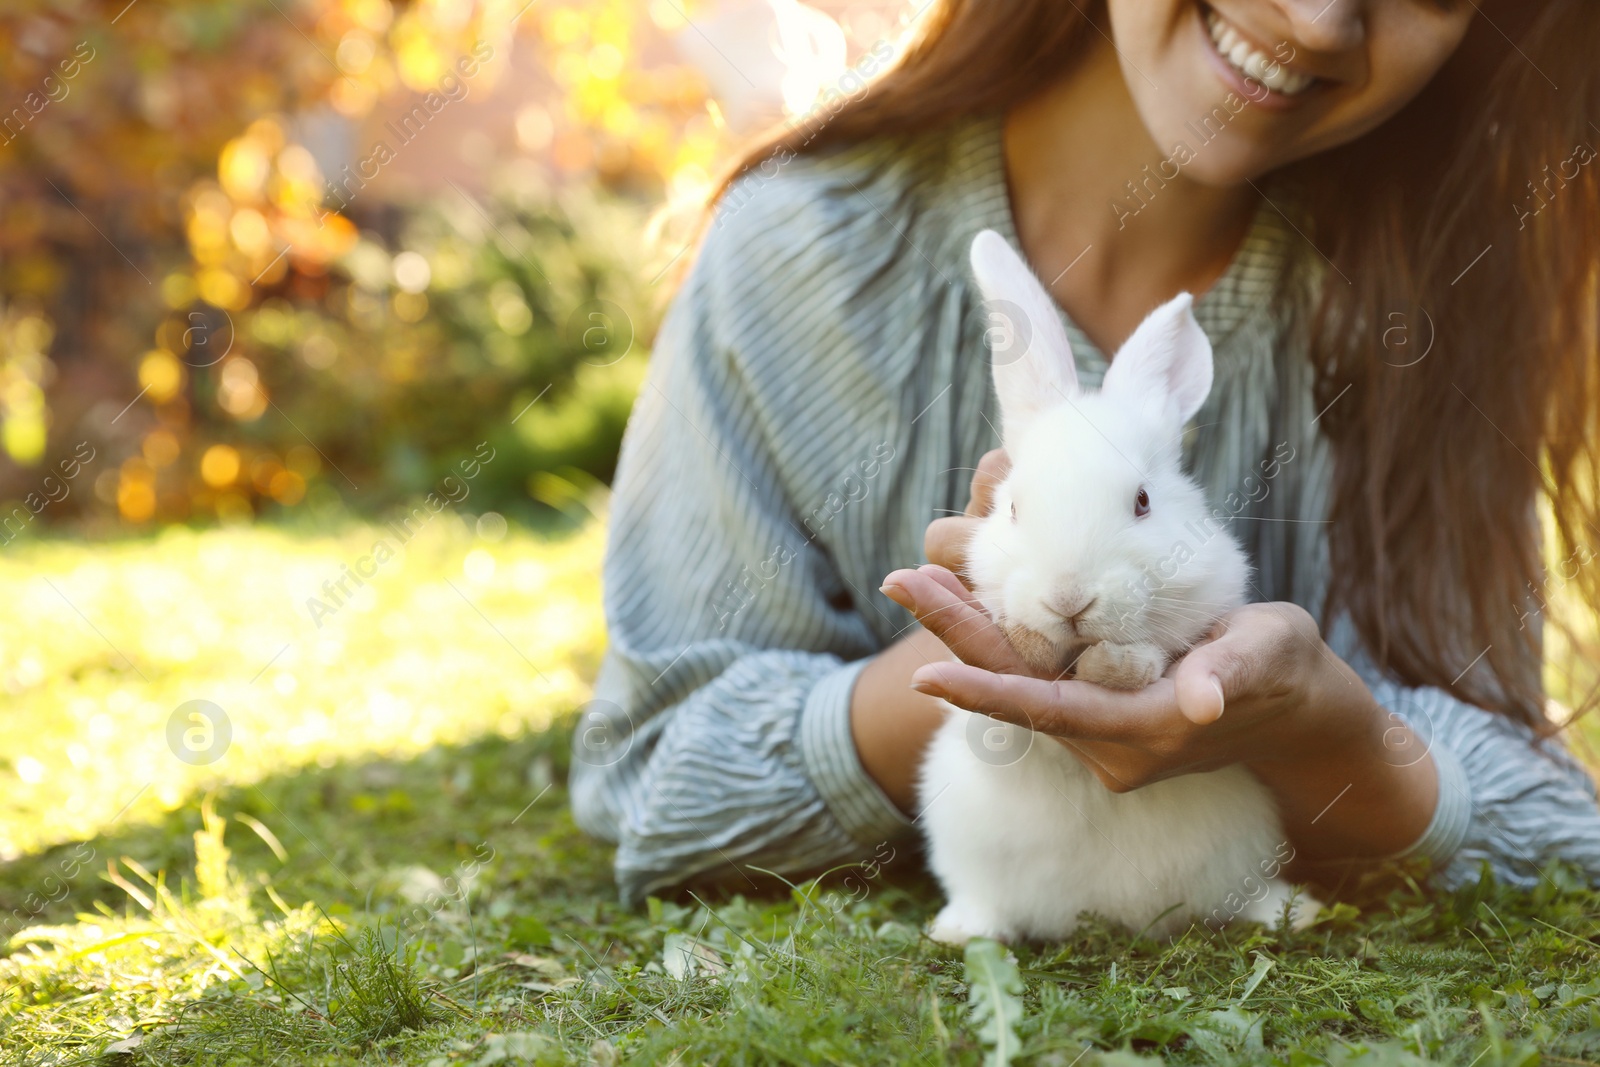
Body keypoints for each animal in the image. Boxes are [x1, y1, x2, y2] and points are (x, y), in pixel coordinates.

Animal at [921, 227, 1318, 940]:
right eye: (1012, 507)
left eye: (1142, 501)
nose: (1069, 600)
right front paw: (1039, 642)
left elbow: (1155, 653)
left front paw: (1114, 666)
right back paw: (962, 930)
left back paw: (1291, 913)